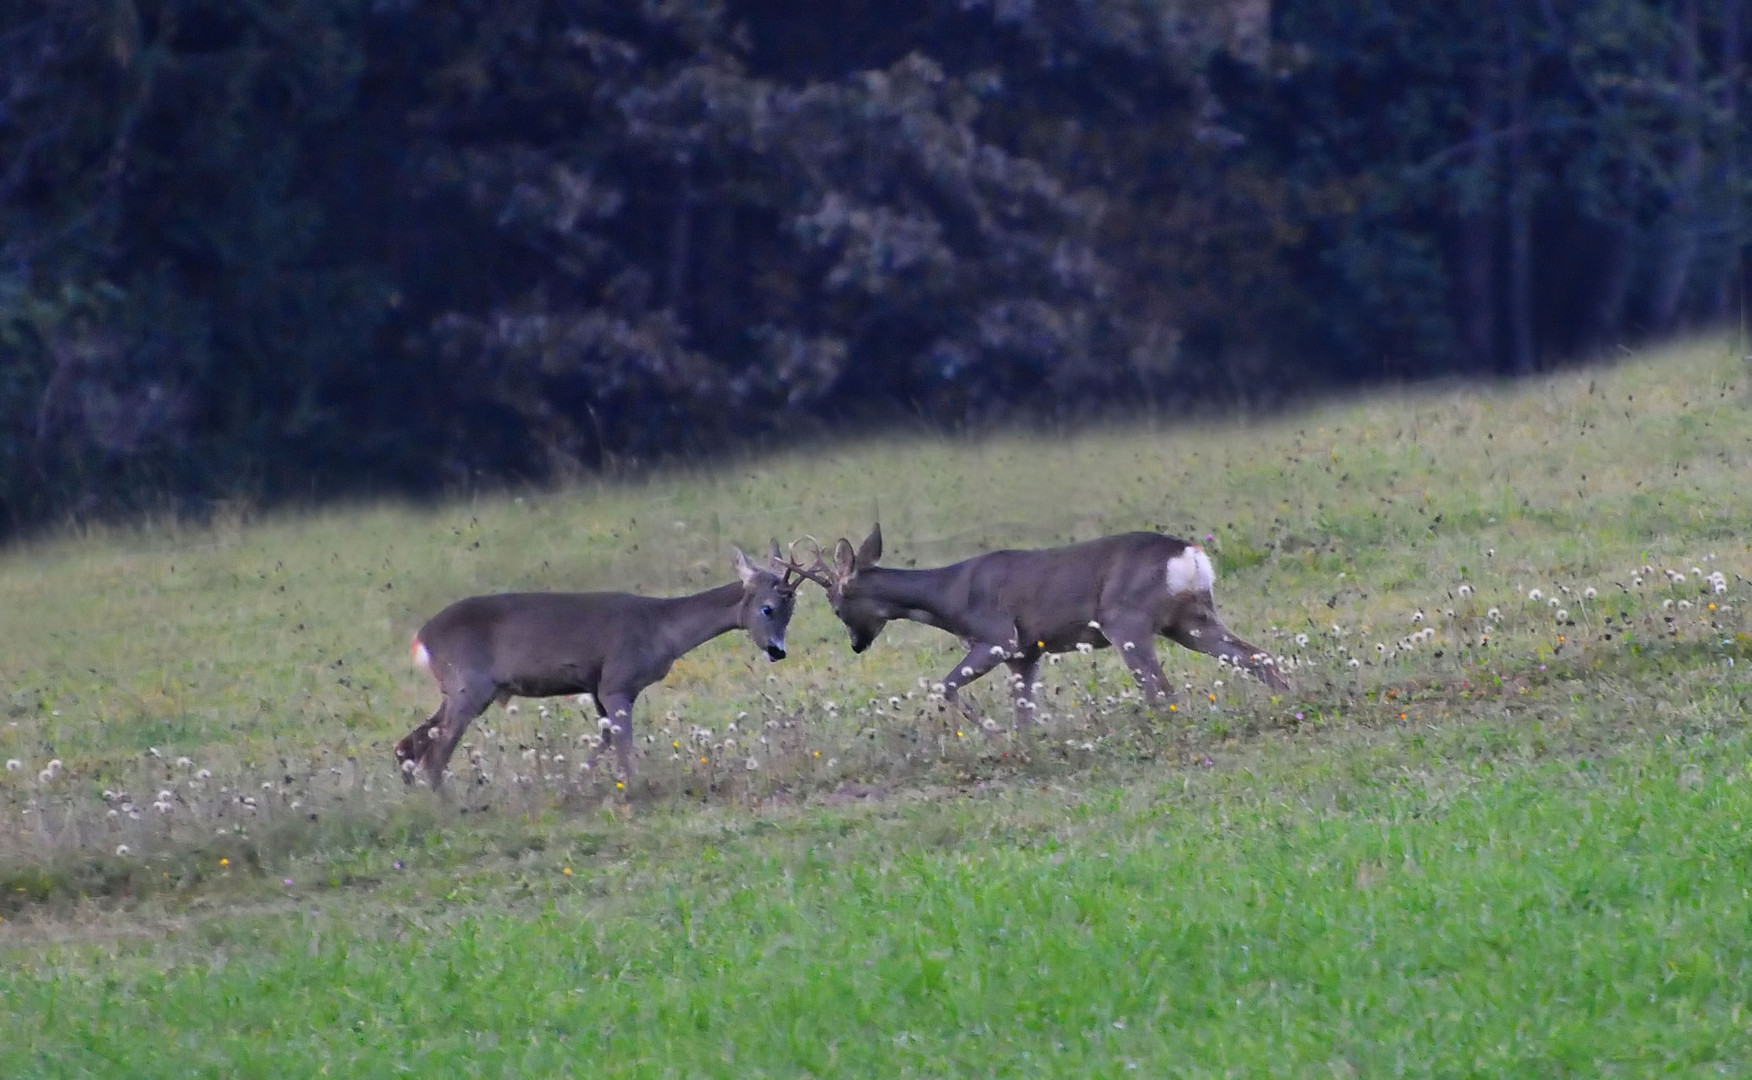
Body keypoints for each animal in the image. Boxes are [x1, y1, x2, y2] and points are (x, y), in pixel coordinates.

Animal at [395, 547, 802, 785]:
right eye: (768, 608)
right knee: (434, 755)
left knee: (408, 745)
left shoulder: (598, 687)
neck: (660, 628)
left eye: (792, 611)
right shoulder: (617, 681)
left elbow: (605, 740)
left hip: (459, 690)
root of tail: (421, 637)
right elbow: (624, 746)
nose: (778, 651)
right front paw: (633, 789)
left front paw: (579, 783)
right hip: (469, 685)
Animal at [788, 525, 1296, 725]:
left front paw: (986, 731)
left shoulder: (998, 637)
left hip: (1126, 620)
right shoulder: (1025, 654)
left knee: (1160, 689)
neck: (949, 598)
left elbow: (945, 686)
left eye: (835, 606)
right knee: (1259, 657)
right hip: (1190, 620)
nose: (856, 646)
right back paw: (1288, 703)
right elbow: (1024, 716)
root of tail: (1188, 555)